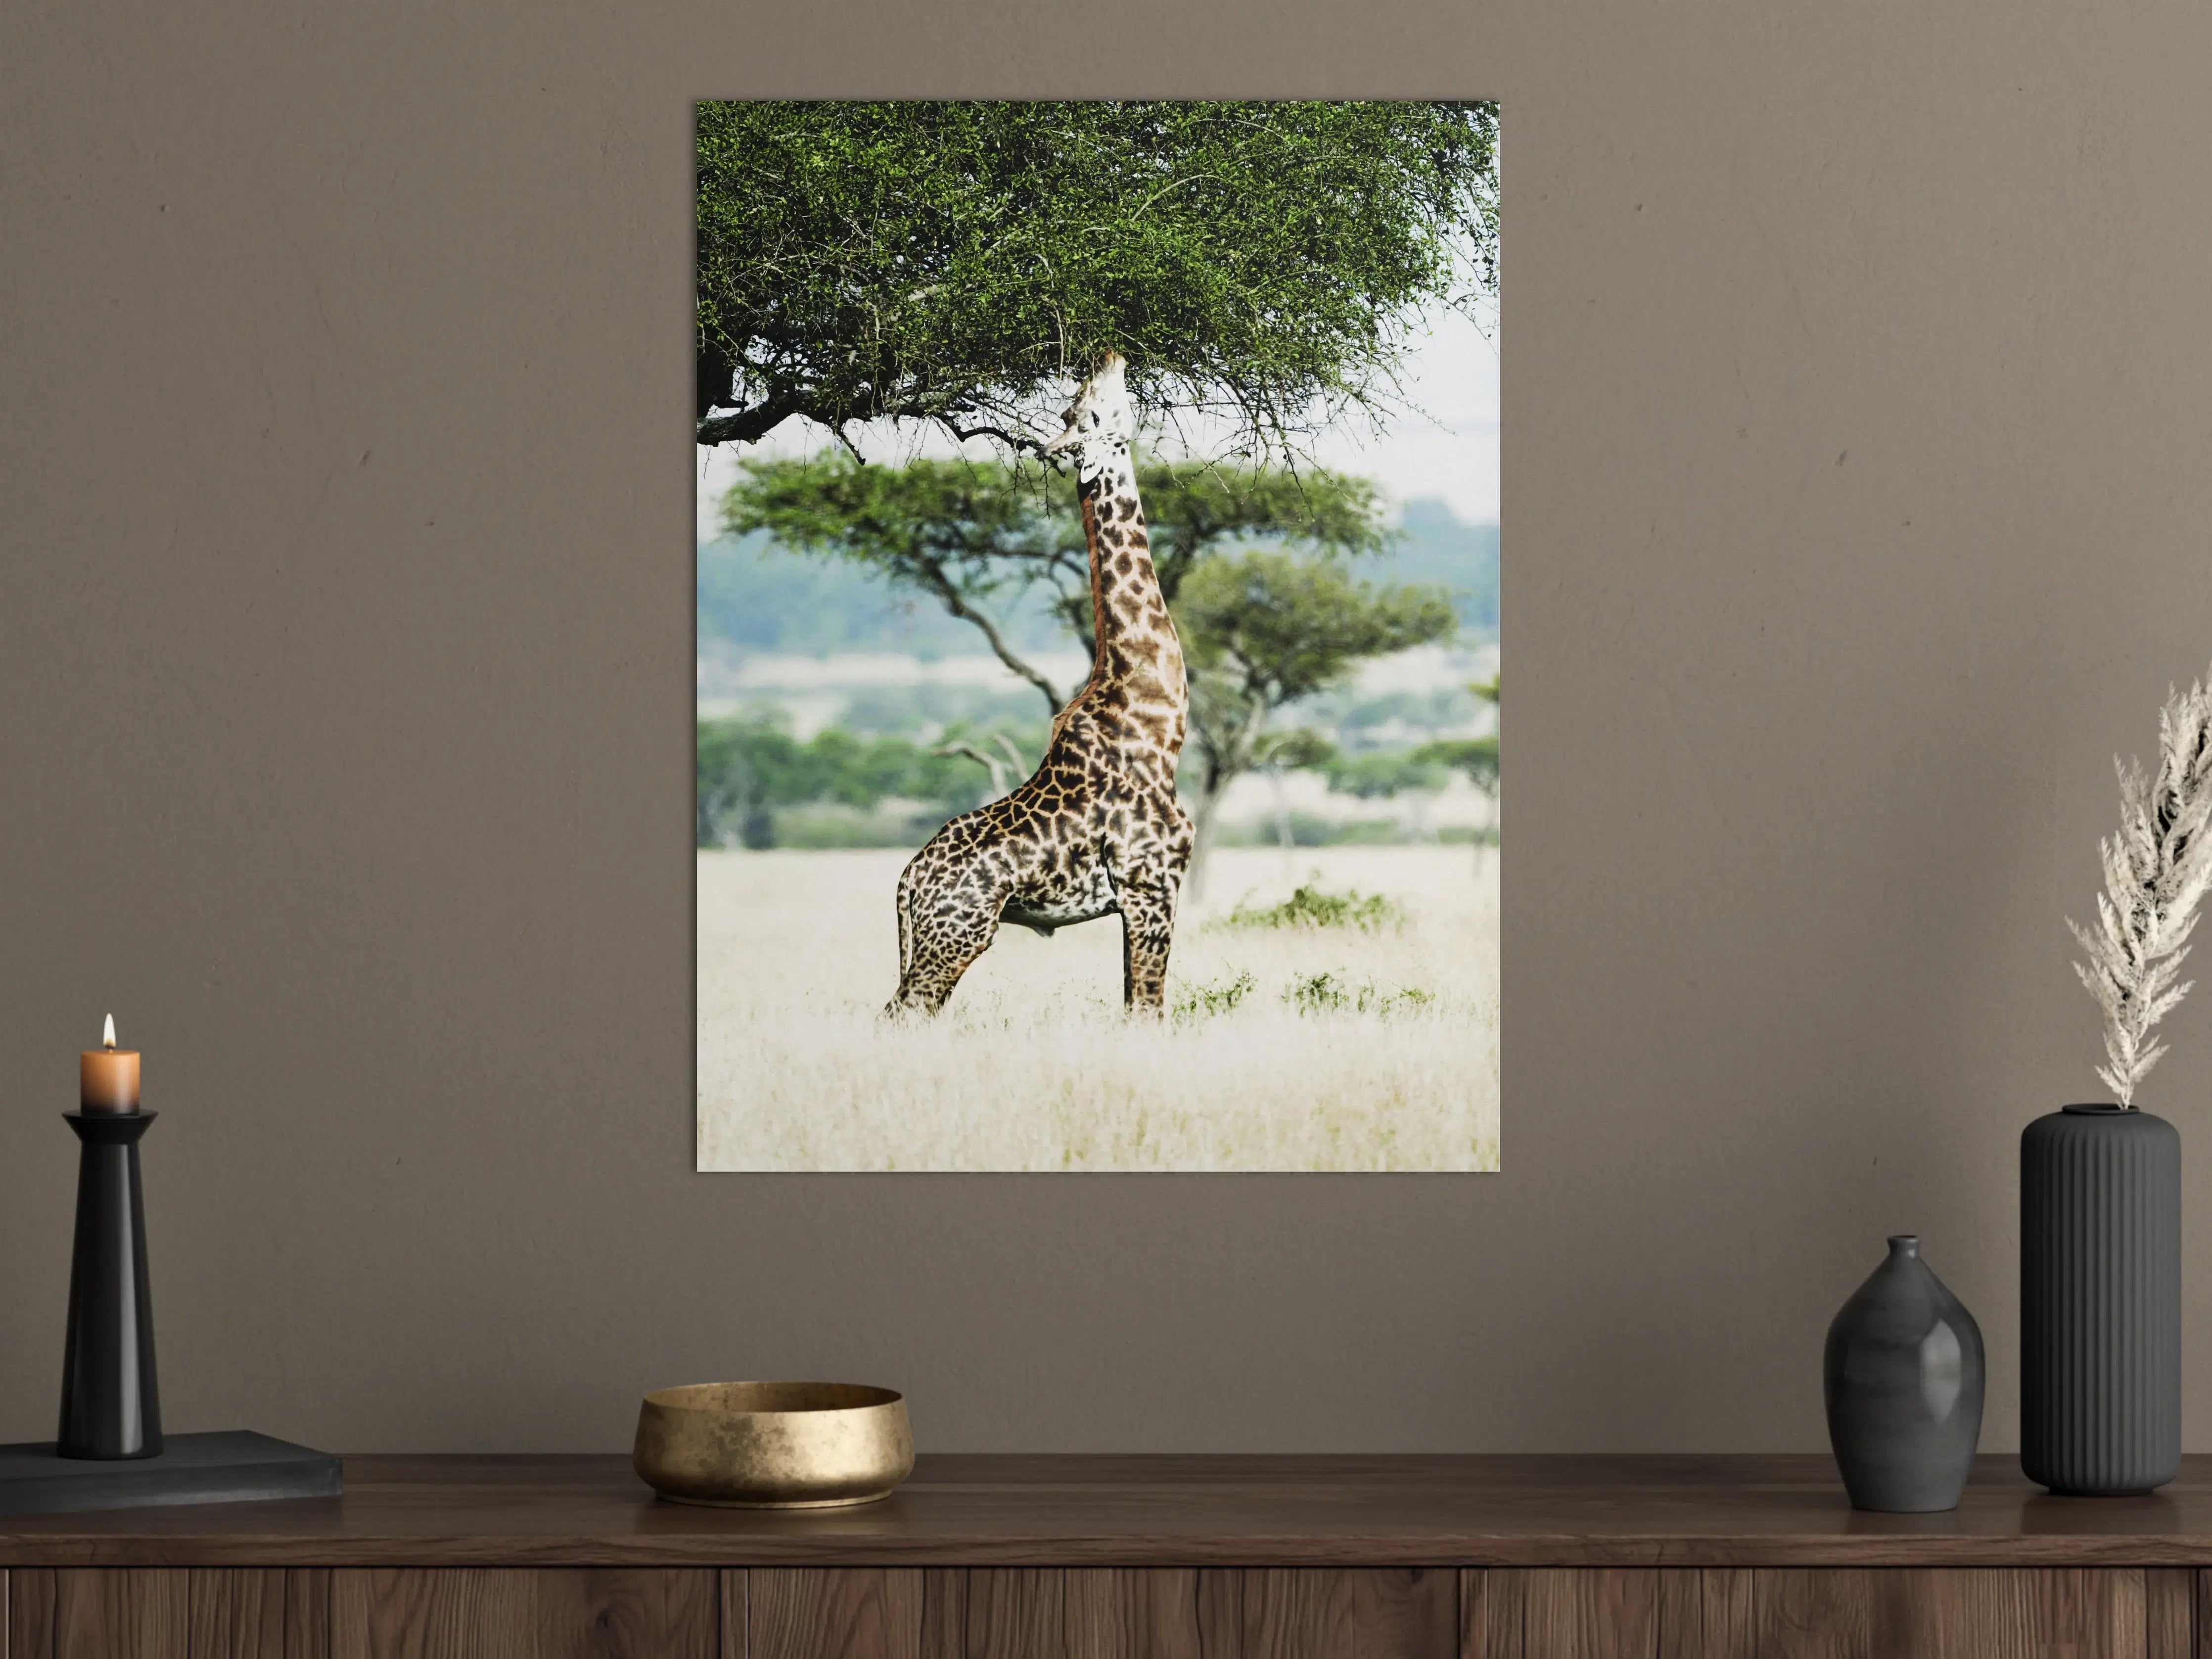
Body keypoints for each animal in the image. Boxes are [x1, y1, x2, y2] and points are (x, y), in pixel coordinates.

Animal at [889, 353, 1193, 1015]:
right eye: (1087, 411)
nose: (1108, 355)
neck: (1158, 723)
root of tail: (908, 880)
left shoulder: (1138, 897)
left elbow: (1133, 1004)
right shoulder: (1150, 883)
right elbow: (1149, 1009)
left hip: (939, 936)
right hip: (957, 934)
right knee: (902, 1012)